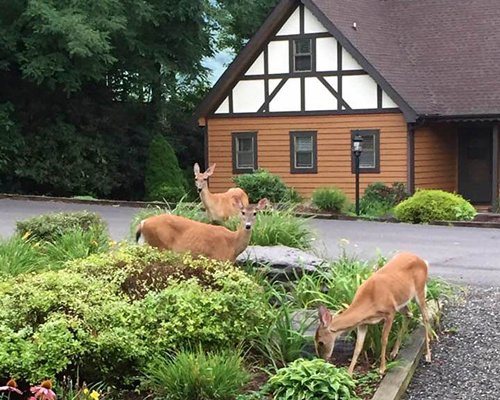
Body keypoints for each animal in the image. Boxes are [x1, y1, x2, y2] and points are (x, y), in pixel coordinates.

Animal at [135, 197, 268, 262]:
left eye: (255, 213)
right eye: (243, 212)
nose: (248, 226)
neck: (233, 245)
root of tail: (142, 223)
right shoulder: (219, 259)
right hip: (159, 245)